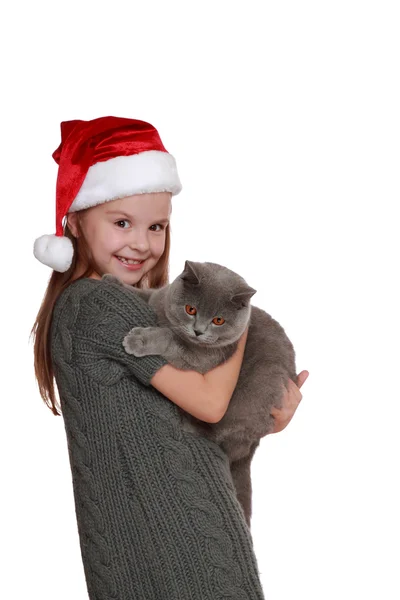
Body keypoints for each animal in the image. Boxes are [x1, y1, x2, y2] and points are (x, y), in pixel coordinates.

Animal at [103, 260, 296, 528]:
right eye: (190, 309)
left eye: (218, 320)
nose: (198, 331)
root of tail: (255, 443)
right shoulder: (157, 299)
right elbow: (145, 295)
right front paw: (111, 281)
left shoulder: (199, 359)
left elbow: (168, 337)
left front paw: (138, 340)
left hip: (254, 395)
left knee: (218, 436)